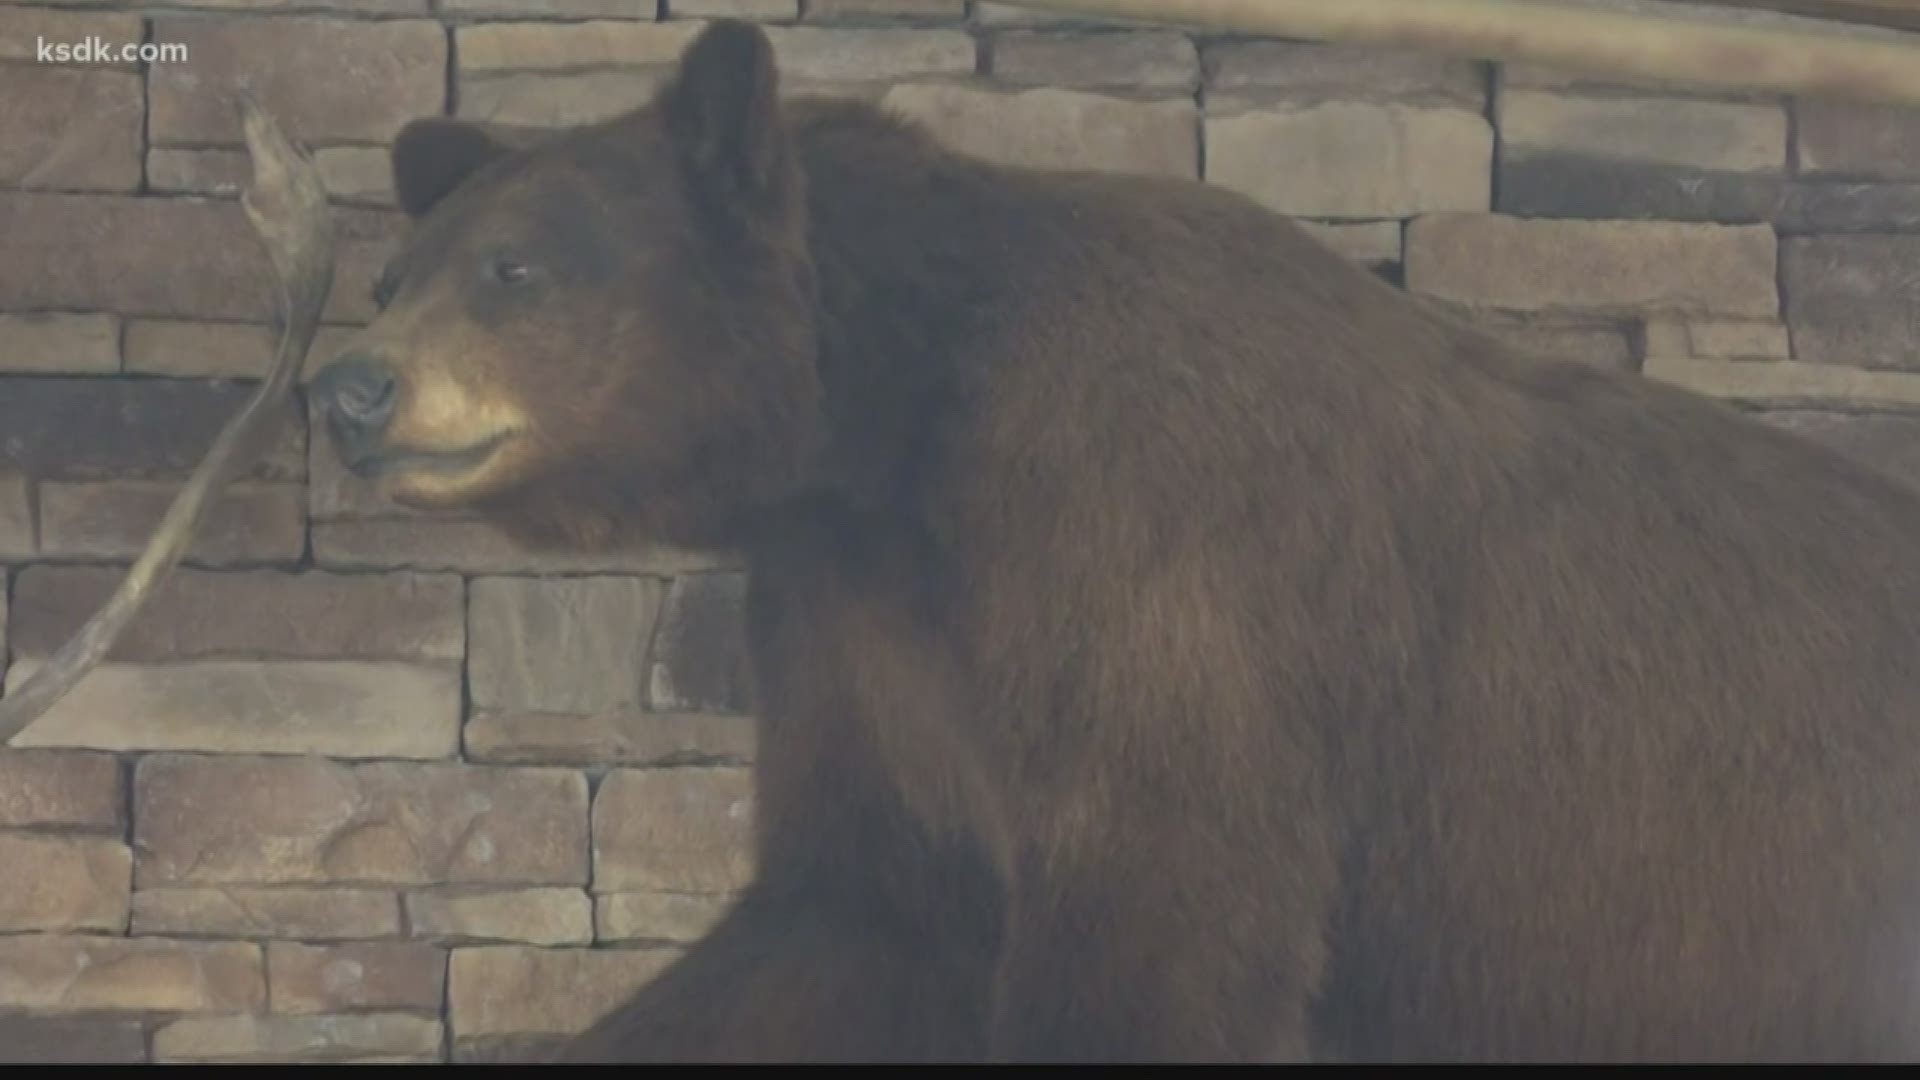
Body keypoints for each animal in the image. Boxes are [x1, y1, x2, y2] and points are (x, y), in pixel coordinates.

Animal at [307, 16, 1920, 1060]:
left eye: (515, 268)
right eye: (396, 272)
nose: (351, 388)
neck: (893, 433)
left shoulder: (1159, 566)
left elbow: (1159, 917)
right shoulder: (860, 624)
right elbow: (852, 907)